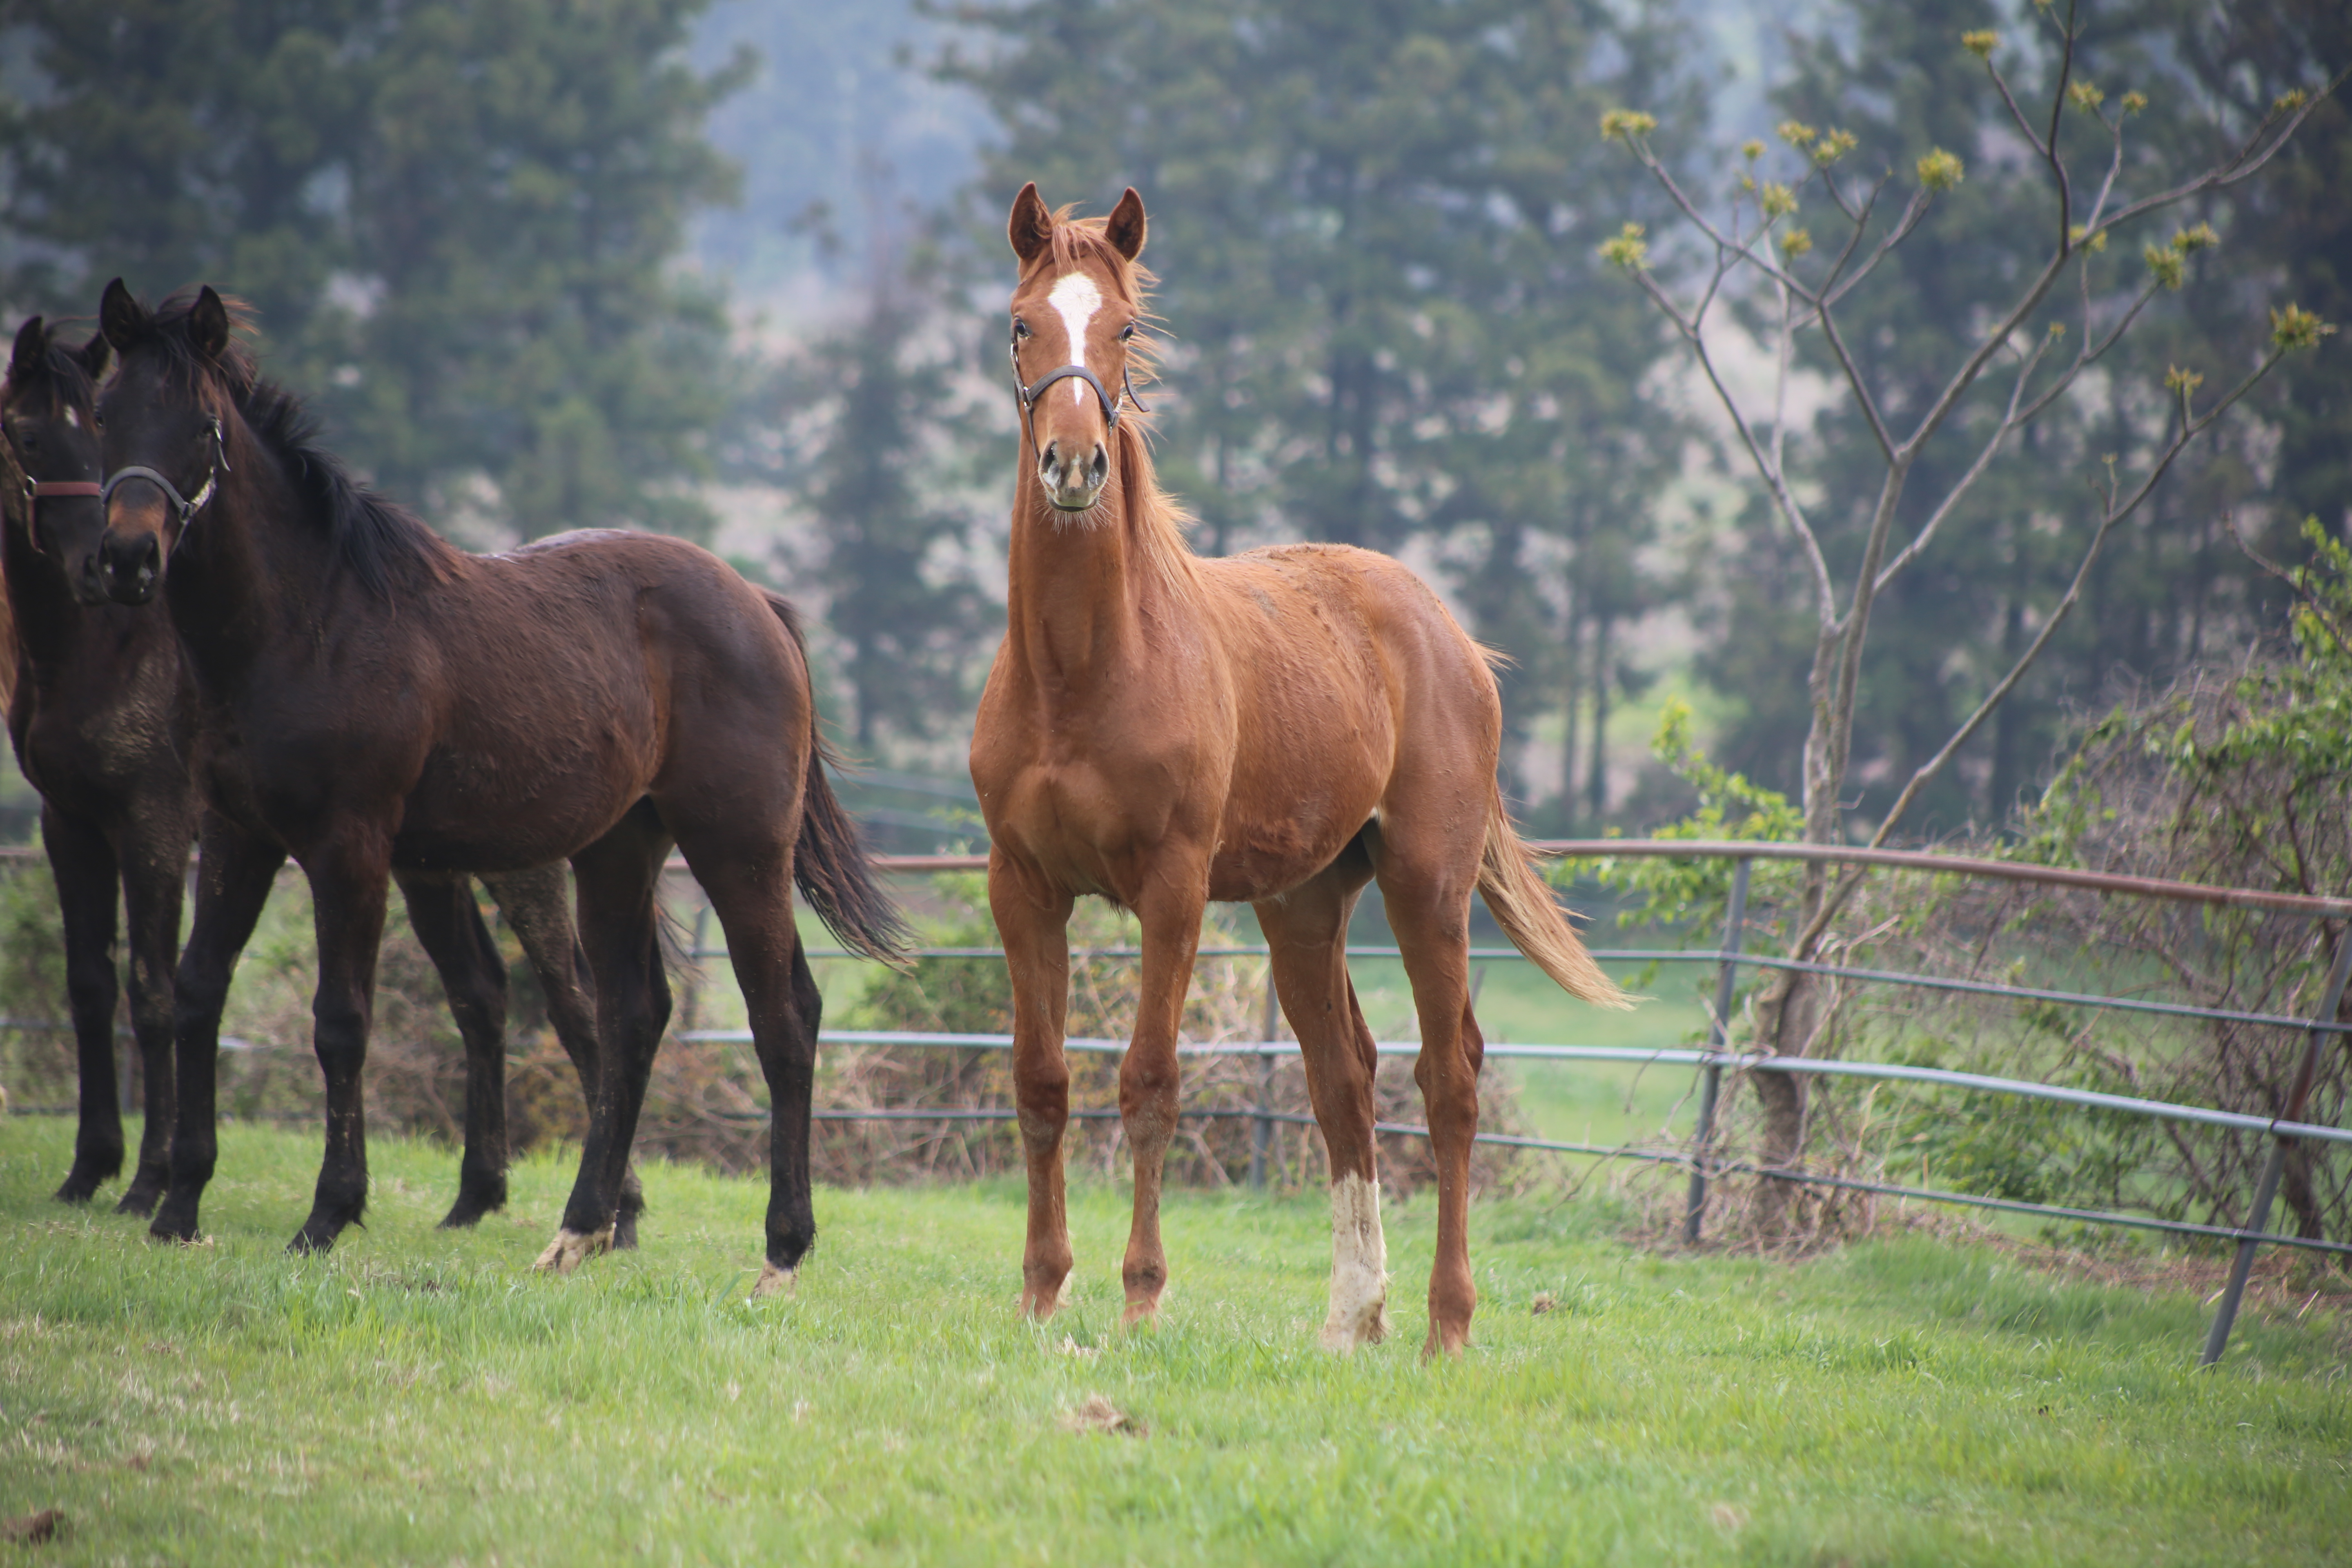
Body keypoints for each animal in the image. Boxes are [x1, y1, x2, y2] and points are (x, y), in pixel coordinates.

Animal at [0, 310, 639, 1241]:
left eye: (203, 427)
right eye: (28, 434)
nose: (115, 563)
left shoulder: (184, 827)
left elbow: (232, 1006)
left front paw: (197, 1190)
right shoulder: (110, 824)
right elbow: (142, 989)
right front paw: (132, 1183)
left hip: (520, 869)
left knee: (580, 1008)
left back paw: (617, 1213)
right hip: (433, 867)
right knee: (482, 996)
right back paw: (477, 1197)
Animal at [91, 285, 898, 1288]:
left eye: (202, 426)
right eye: (105, 414)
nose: (128, 558)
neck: (307, 622)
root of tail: (763, 607)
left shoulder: (349, 849)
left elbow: (340, 1023)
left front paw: (327, 1215)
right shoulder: (239, 835)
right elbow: (200, 990)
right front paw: (178, 1206)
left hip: (740, 851)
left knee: (782, 1017)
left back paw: (781, 1250)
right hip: (617, 854)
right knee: (634, 1017)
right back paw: (581, 1228)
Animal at [964, 187, 1627, 1363]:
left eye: (1125, 330)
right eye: (1020, 324)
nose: (1075, 468)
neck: (1083, 672)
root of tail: (1452, 636)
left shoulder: (1174, 892)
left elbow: (1149, 1082)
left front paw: (1140, 1297)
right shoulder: (1023, 888)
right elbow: (1042, 1084)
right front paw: (1041, 1295)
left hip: (1426, 888)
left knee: (1447, 1079)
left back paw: (1445, 1326)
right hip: (1304, 908)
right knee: (1343, 1081)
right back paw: (1350, 1321)